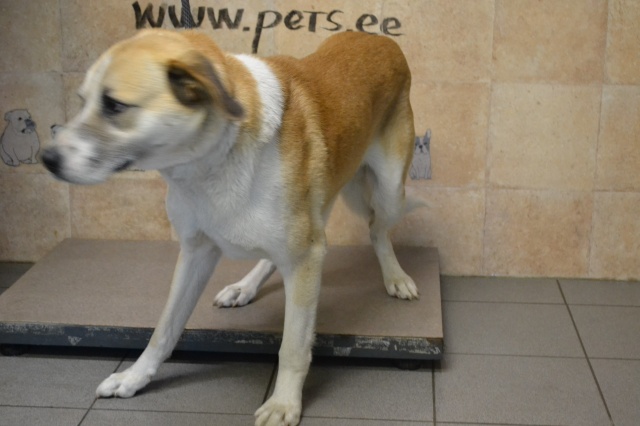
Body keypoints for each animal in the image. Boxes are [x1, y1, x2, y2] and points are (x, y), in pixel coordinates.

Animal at [41, 29, 418, 426]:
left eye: (114, 105)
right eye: (82, 101)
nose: (46, 159)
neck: (214, 158)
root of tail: (375, 36)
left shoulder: (304, 256)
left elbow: (293, 346)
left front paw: (284, 403)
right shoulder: (196, 253)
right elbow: (164, 329)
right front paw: (133, 377)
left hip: (391, 189)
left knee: (377, 228)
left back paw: (396, 277)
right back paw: (244, 287)